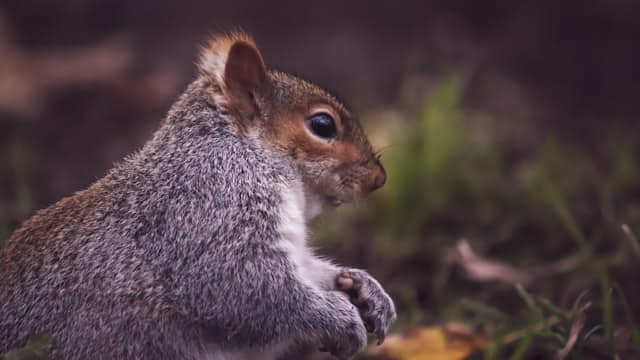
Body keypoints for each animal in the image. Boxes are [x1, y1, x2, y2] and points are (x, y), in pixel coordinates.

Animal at [0, 31, 398, 360]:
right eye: (322, 124)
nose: (379, 178)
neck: (243, 150)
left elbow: (306, 270)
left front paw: (365, 289)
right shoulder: (213, 206)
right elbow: (245, 288)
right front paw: (339, 318)